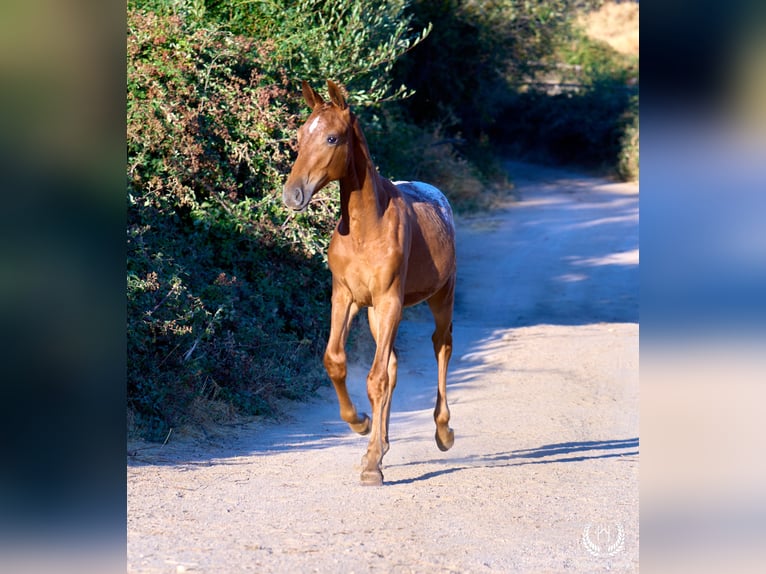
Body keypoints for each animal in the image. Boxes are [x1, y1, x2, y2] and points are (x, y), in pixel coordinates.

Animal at [282, 80, 456, 486]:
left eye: (332, 138)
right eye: (299, 135)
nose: (292, 194)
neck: (367, 228)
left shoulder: (390, 299)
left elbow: (374, 379)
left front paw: (372, 461)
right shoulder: (345, 298)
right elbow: (336, 361)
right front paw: (360, 425)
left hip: (441, 296)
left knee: (441, 346)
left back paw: (442, 432)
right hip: (378, 314)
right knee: (392, 366)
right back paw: (379, 446)